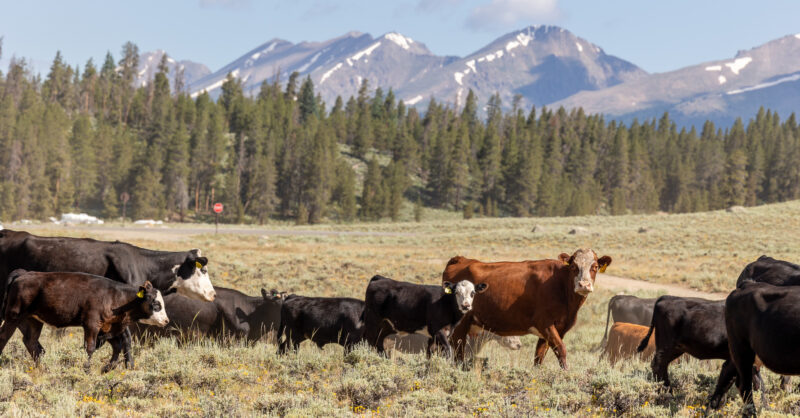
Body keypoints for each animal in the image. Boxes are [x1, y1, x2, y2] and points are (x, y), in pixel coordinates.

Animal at [0, 270, 168, 373]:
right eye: (156, 304)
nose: (166, 321)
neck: (115, 297)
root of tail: (23, 274)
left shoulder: (108, 328)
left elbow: (118, 346)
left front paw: (107, 368)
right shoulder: (91, 325)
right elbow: (90, 348)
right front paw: (87, 369)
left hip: (33, 320)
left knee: (31, 342)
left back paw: (43, 368)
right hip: (13, 317)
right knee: (4, 337)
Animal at [442, 248, 612, 369]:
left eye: (595, 267)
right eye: (574, 267)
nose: (584, 285)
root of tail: (460, 259)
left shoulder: (555, 329)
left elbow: (539, 356)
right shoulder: (545, 323)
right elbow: (561, 350)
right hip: (461, 326)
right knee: (458, 352)